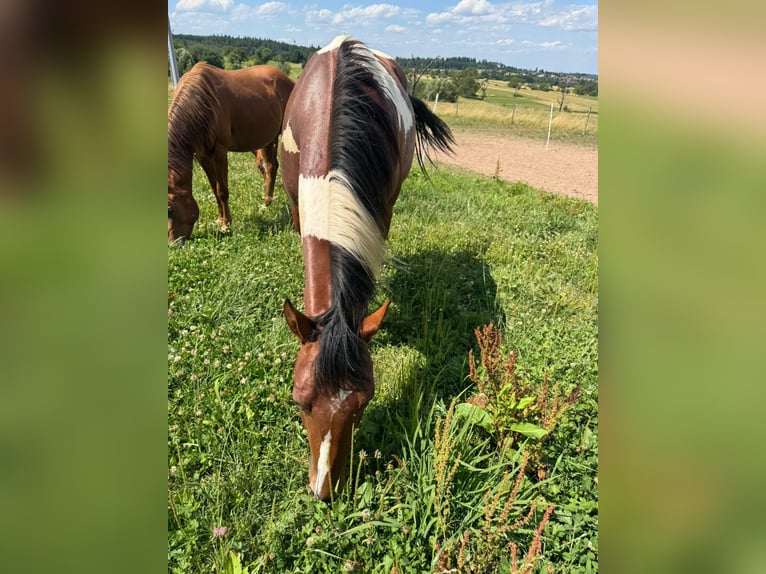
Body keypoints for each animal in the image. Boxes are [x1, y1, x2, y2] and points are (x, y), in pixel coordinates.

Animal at [168, 63, 295, 244]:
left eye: (169, 209)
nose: (173, 243)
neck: (201, 102)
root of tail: (287, 79)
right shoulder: (202, 154)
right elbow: (214, 188)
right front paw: (220, 219)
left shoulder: (219, 150)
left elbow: (222, 190)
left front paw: (226, 224)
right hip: (267, 138)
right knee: (271, 166)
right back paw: (266, 203)